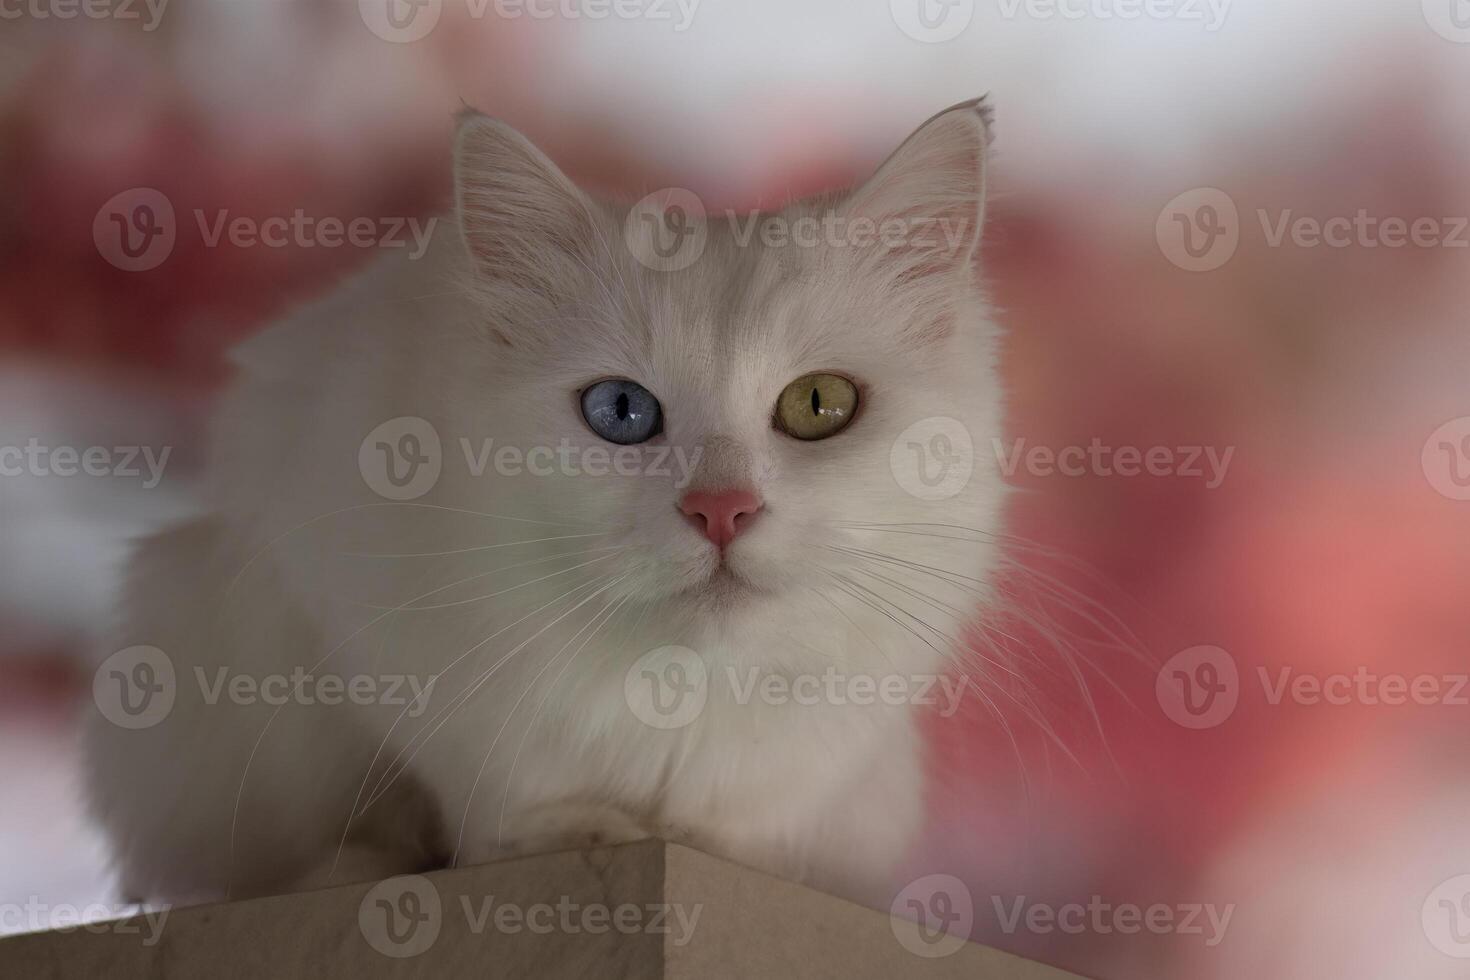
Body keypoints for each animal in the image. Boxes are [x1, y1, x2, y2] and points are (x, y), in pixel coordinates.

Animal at [83, 95, 1011, 910]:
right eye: (621, 411)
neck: (674, 696)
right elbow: (486, 791)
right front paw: (574, 832)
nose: (721, 509)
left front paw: (708, 847)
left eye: (819, 404)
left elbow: (741, 826)